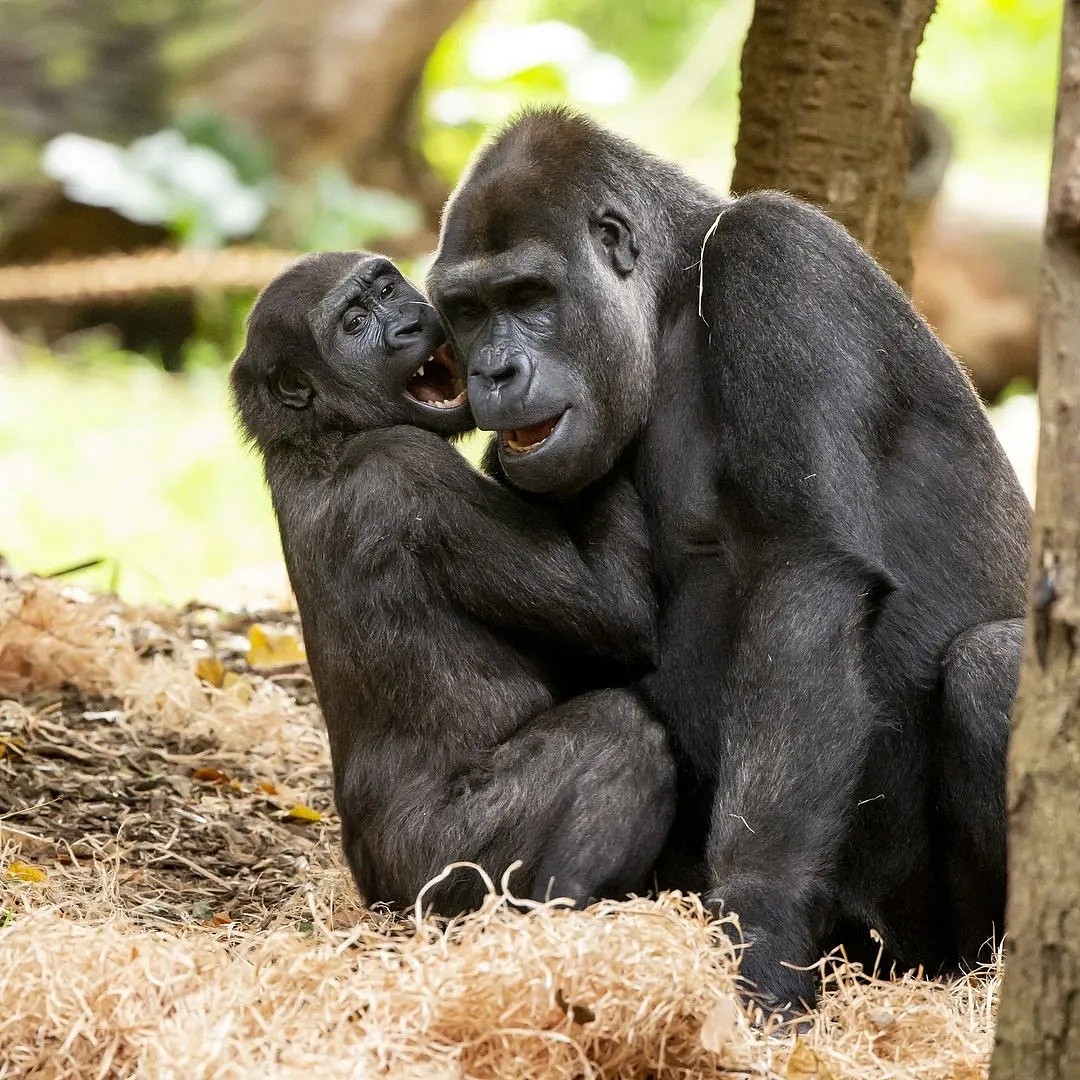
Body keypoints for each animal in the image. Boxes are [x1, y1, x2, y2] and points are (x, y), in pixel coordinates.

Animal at [232, 254, 673, 920]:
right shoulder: (414, 473)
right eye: (354, 322)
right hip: (440, 869)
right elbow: (619, 617)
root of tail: (379, 900)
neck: (323, 433)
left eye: (388, 288)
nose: (410, 325)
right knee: (621, 732)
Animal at [425, 109, 1032, 1010]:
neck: (674, 288)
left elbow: (802, 575)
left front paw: (759, 937)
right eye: (465, 311)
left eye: (530, 298)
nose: (494, 372)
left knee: (991, 668)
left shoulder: (778, 263)